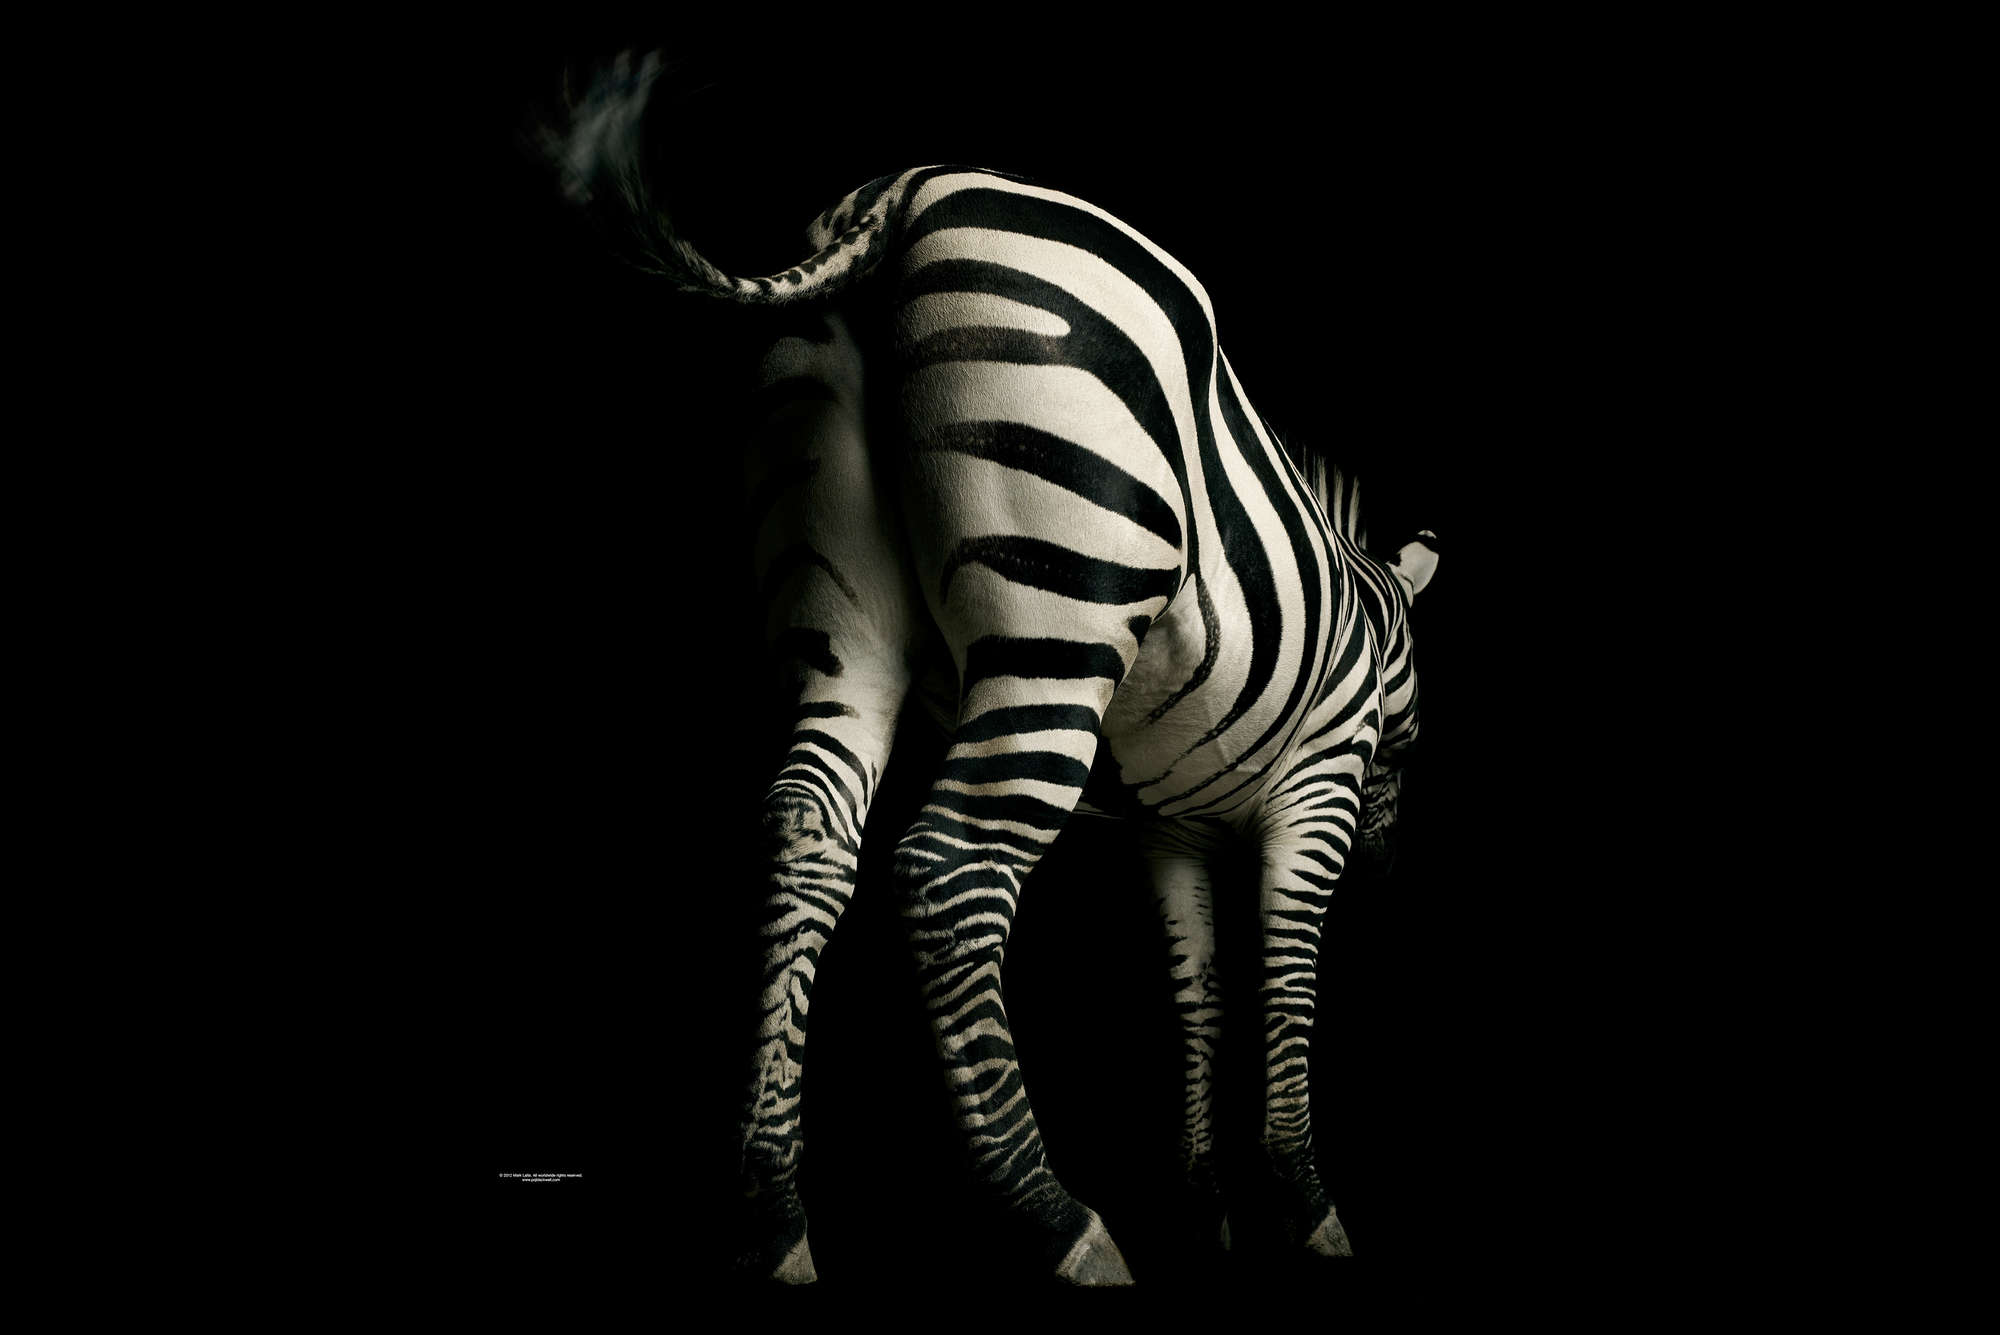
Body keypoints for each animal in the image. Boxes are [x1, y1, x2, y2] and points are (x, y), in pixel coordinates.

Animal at [542, 53, 1440, 1285]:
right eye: (1409, 736)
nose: (1392, 873)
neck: (1364, 619)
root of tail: (900, 196)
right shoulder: (1317, 790)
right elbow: (1282, 979)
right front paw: (1307, 1206)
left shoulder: (1170, 828)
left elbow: (1199, 993)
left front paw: (1205, 1207)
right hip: (1062, 618)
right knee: (947, 865)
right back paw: (1062, 1222)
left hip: (838, 611)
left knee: (807, 828)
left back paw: (775, 1218)